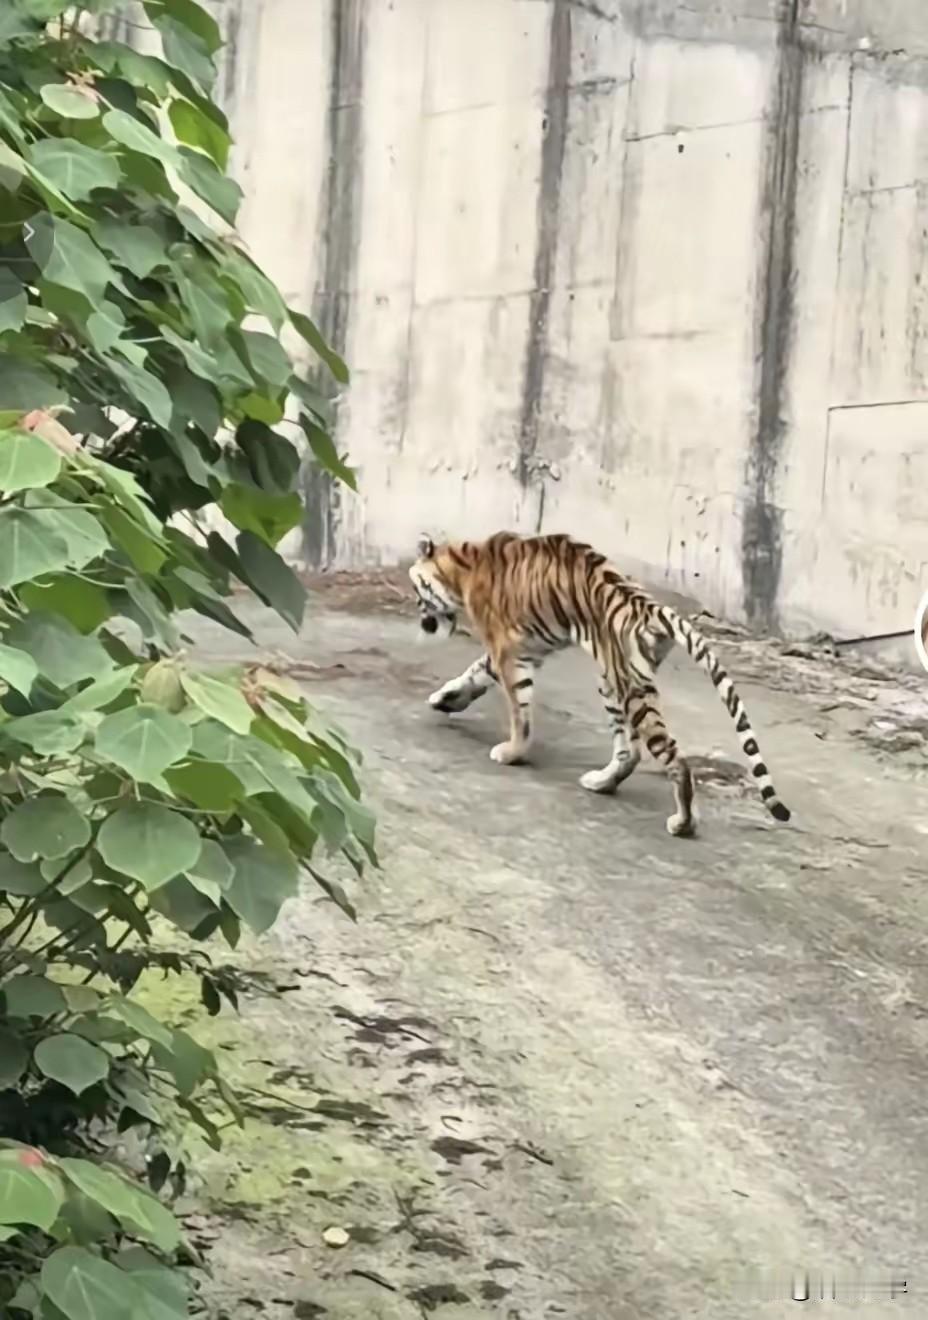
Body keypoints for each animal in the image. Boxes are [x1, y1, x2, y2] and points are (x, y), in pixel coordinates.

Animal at [409, 530, 791, 837]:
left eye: (417, 588)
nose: (421, 615)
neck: (463, 565)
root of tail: (648, 607)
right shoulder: (522, 651)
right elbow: (474, 673)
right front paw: (445, 699)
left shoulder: (509, 653)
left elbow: (519, 712)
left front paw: (511, 753)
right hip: (612, 680)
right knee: (630, 752)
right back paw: (601, 783)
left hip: (628, 687)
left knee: (671, 756)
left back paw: (683, 823)